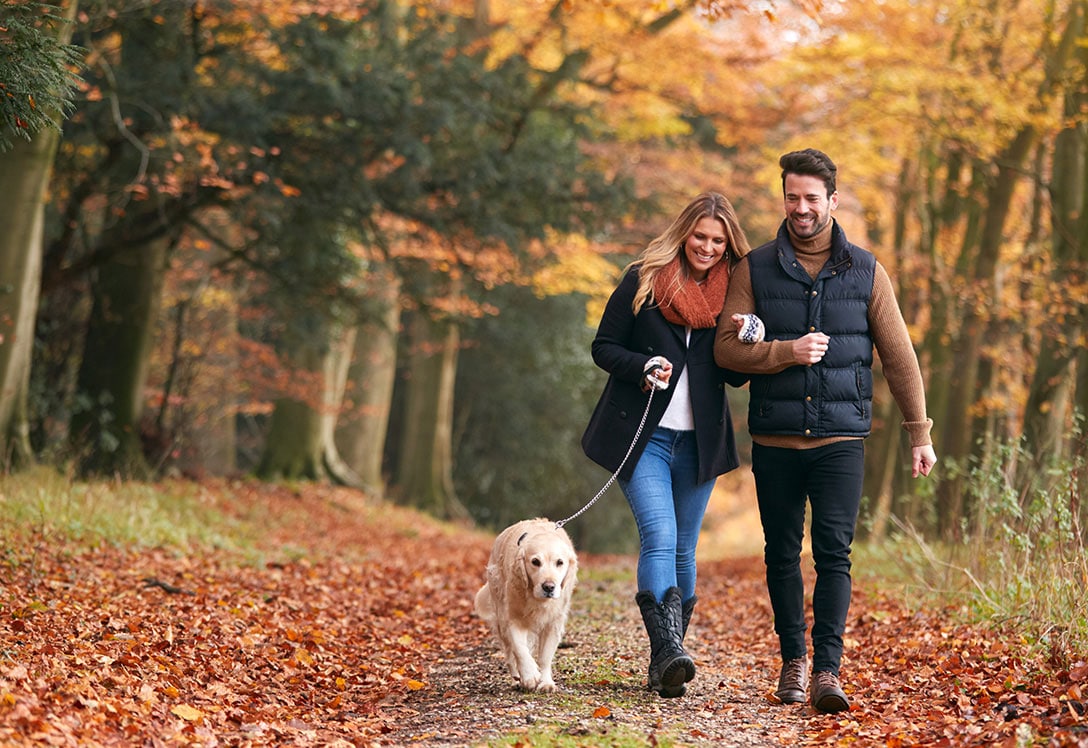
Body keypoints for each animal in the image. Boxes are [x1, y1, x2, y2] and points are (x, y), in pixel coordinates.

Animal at [474, 517, 578, 691]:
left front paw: (546, 682)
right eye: (535, 561)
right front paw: (530, 676)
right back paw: (517, 675)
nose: (549, 587)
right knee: (509, 651)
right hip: (500, 613)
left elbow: (544, 657)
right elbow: (520, 649)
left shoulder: (553, 623)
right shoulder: (513, 618)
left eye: (560, 562)